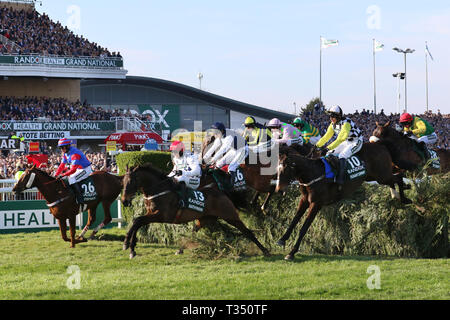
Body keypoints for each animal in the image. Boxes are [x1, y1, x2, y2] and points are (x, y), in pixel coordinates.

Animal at [120, 164, 270, 258]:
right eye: (123, 181)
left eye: (131, 181)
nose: (124, 201)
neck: (159, 190)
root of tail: (222, 193)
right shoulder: (151, 214)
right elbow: (137, 222)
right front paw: (131, 247)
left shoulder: (162, 215)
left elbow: (138, 221)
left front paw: (128, 244)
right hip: (205, 219)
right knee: (193, 232)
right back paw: (180, 249)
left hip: (230, 216)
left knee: (247, 232)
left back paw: (265, 250)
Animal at [276, 144, 410, 262]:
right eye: (277, 169)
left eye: (285, 169)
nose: (279, 190)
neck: (313, 173)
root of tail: (381, 145)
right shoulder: (304, 200)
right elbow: (294, 220)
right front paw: (282, 239)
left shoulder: (316, 203)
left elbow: (304, 228)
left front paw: (291, 252)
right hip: (374, 177)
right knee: (395, 179)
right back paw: (398, 194)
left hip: (382, 176)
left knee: (399, 176)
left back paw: (405, 198)